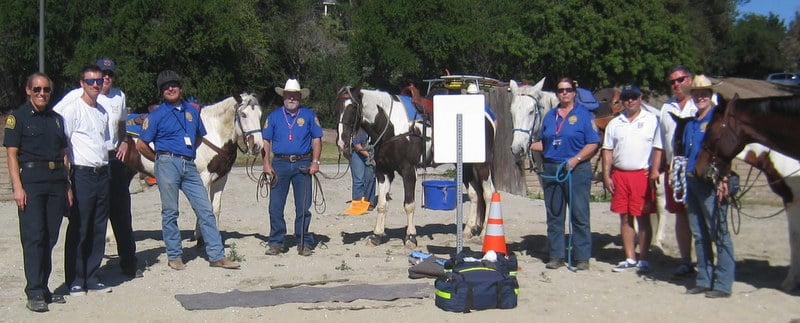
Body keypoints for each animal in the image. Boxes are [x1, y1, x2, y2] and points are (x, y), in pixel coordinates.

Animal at [334, 85, 496, 248]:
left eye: (353, 107)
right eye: (337, 107)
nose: (342, 142)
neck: (391, 125)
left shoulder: (409, 171)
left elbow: (409, 205)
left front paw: (411, 237)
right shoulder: (383, 172)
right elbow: (381, 204)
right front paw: (376, 236)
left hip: (482, 165)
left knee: (488, 194)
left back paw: (483, 235)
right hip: (465, 165)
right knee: (475, 194)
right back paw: (468, 230)